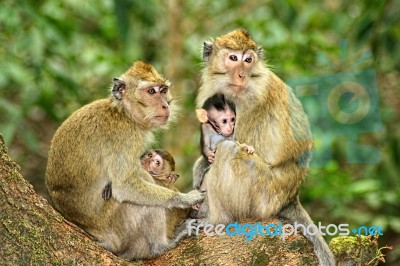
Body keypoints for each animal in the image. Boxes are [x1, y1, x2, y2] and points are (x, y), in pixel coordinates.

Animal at [45, 60, 205, 260]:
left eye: (163, 90)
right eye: (151, 91)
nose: (165, 106)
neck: (123, 113)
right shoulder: (124, 137)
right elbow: (124, 186)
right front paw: (185, 198)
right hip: (117, 229)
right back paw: (160, 246)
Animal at [195, 29, 336, 266]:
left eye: (248, 60)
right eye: (233, 58)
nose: (242, 75)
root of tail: (291, 197)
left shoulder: (252, 101)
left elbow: (236, 142)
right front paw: (200, 167)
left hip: (265, 196)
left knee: (230, 150)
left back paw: (217, 219)